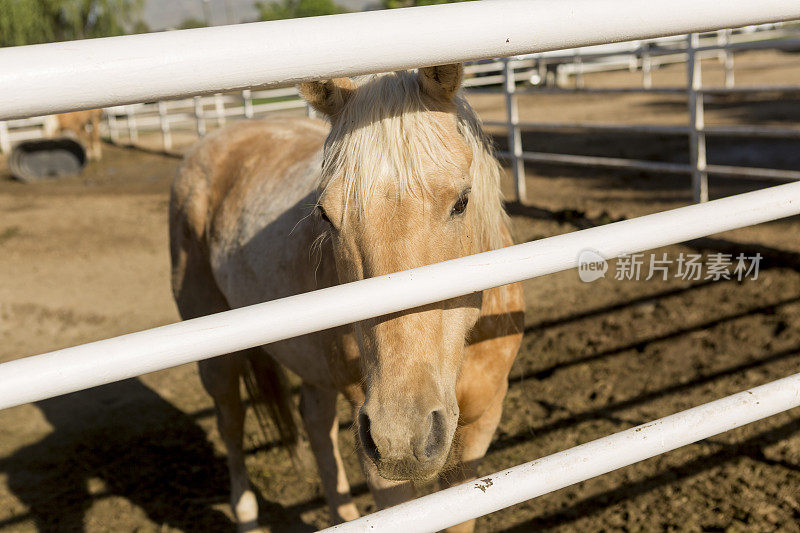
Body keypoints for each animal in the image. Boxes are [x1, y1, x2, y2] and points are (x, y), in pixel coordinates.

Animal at [169, 64, 524, 528]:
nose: (401, 434)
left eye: (462, 201)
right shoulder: (374, 449)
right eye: (325, 215)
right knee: (231, 422)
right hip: (218, 358)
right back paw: (246, 515)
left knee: (316, 423)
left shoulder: (482, 424)